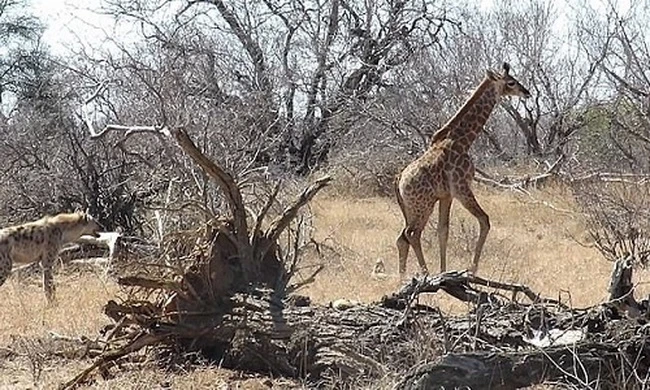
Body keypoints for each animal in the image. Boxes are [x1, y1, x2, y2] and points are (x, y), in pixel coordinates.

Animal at [392, 62, 528, 276]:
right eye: (511, 82)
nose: (526, 92)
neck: (463, 141)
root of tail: (398, 181)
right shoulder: (461, 187)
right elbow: (484, 220)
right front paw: (471, 269)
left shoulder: (446, 195)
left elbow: (443, 231)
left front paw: (444, 271)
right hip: (423, 204)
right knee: (412, 234)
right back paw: (424, 273)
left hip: (409, 207)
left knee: (402, 238)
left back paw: (403, 277)